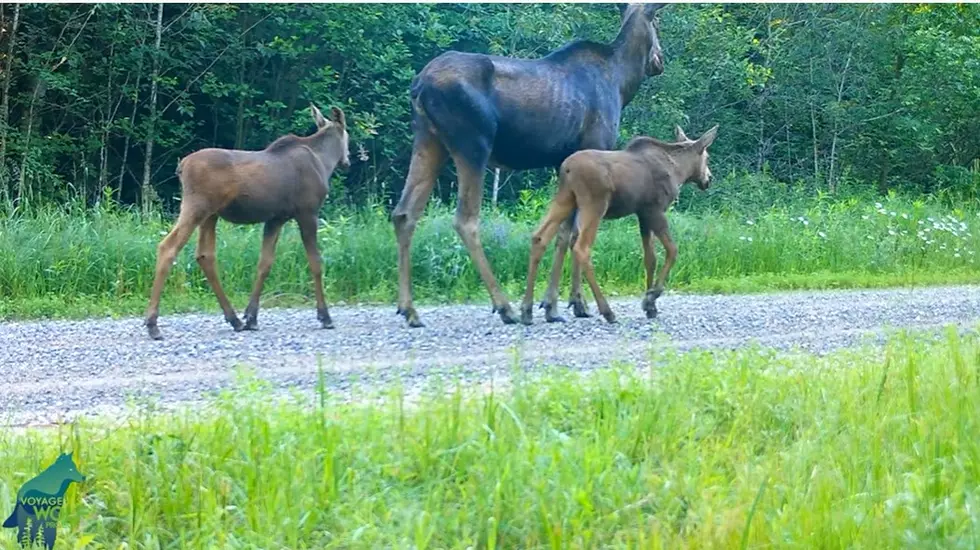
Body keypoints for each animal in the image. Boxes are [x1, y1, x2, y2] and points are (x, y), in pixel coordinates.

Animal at [142, 103, 348, 340]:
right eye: (347, 134)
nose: (347, 160)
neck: (324, 161)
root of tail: (181, 166)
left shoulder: (275, 219)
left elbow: (264, 263)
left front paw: (251, 316)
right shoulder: (307, 212)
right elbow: (315, 262)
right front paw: (325, 316)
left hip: (210, 214)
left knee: (205, 255)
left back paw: (234, 319)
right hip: (196, 207)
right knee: (168, 247)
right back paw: (153, 324)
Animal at [390, 2, 668, 328]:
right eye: (657, 22)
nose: (659, 59)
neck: (622, 82)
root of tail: (419, 84)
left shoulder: (562, 162)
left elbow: (564, 232)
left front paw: (556, 303)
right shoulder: (592, 148)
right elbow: (574, 234)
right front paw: (569, 303)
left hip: (427, 140)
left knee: (404, 213)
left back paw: (409, 309)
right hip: (473, 145)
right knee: (465, 220)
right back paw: (504, 306)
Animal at [520, 125, 720, 328]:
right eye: (707, 157)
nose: (709, 178)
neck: (679, 170)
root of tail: (566, 169)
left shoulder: (642, 214)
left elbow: (650, 258)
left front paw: (650, 306)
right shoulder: (655, 210)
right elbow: (672, 250)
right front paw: (651, 296)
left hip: (566, 199)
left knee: (540, 237)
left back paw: (528, 310)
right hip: (594, 205)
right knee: (581, 247)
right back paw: (607, 311)